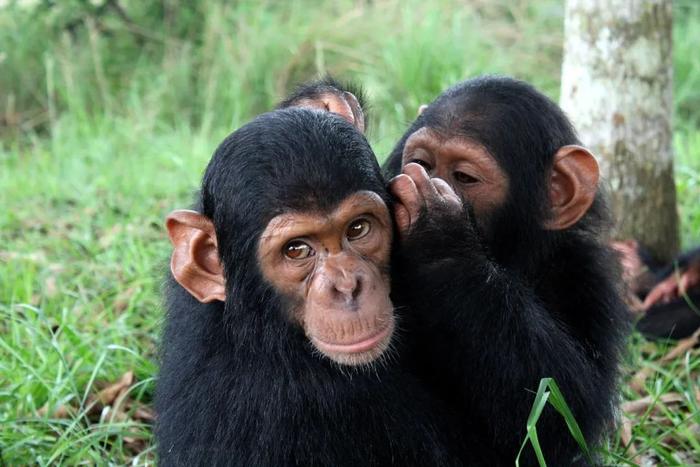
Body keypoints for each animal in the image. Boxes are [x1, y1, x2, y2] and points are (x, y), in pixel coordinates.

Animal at [300, 76, 628, 464]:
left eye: (464, 177)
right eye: (421, 161)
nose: (416, 178)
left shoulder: (587, 283)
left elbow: (560, 413)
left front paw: (436, 228)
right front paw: (322, 105)